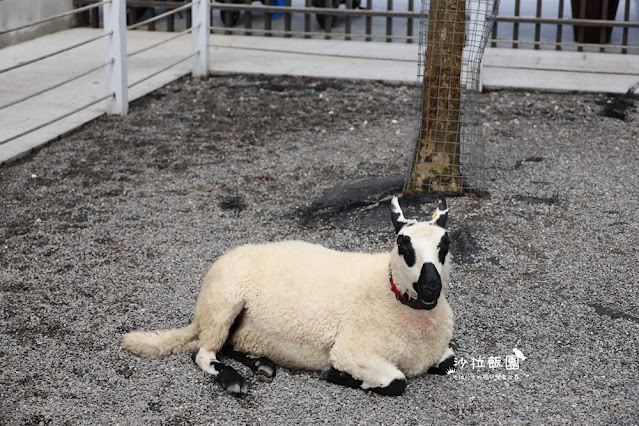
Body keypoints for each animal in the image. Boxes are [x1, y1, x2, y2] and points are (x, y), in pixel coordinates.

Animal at [122, 196, 456, 396]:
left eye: (445, 245)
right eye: (403, 245)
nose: (431, 286)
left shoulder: (438, 352)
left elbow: (448, 362)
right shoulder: (352, 350)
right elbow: (396, 382)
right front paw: (335, 374)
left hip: (237, 323)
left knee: (227, 344)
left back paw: (262, 364)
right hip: (224, 302)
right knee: (203, 353)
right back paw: (233, 380)